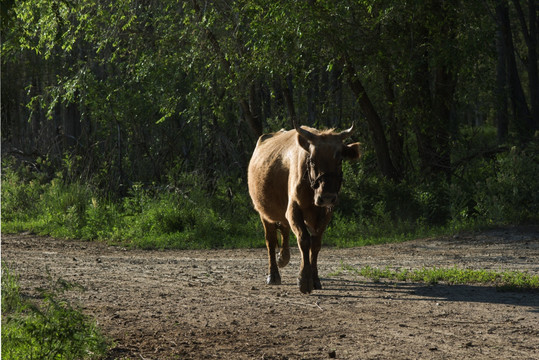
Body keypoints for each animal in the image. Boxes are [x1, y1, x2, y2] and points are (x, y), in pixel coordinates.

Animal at [249, 124, 362, 292]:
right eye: (313, 160)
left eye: (339, 160)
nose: (327, 196)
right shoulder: (293, 210)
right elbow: (304, 240)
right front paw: (304, 280)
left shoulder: (325, 213)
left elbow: (315, 244)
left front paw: (315, 279)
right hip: (264, 213)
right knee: (270, 240)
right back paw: (273, 275)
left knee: (284, 229)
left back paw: (283, 257)